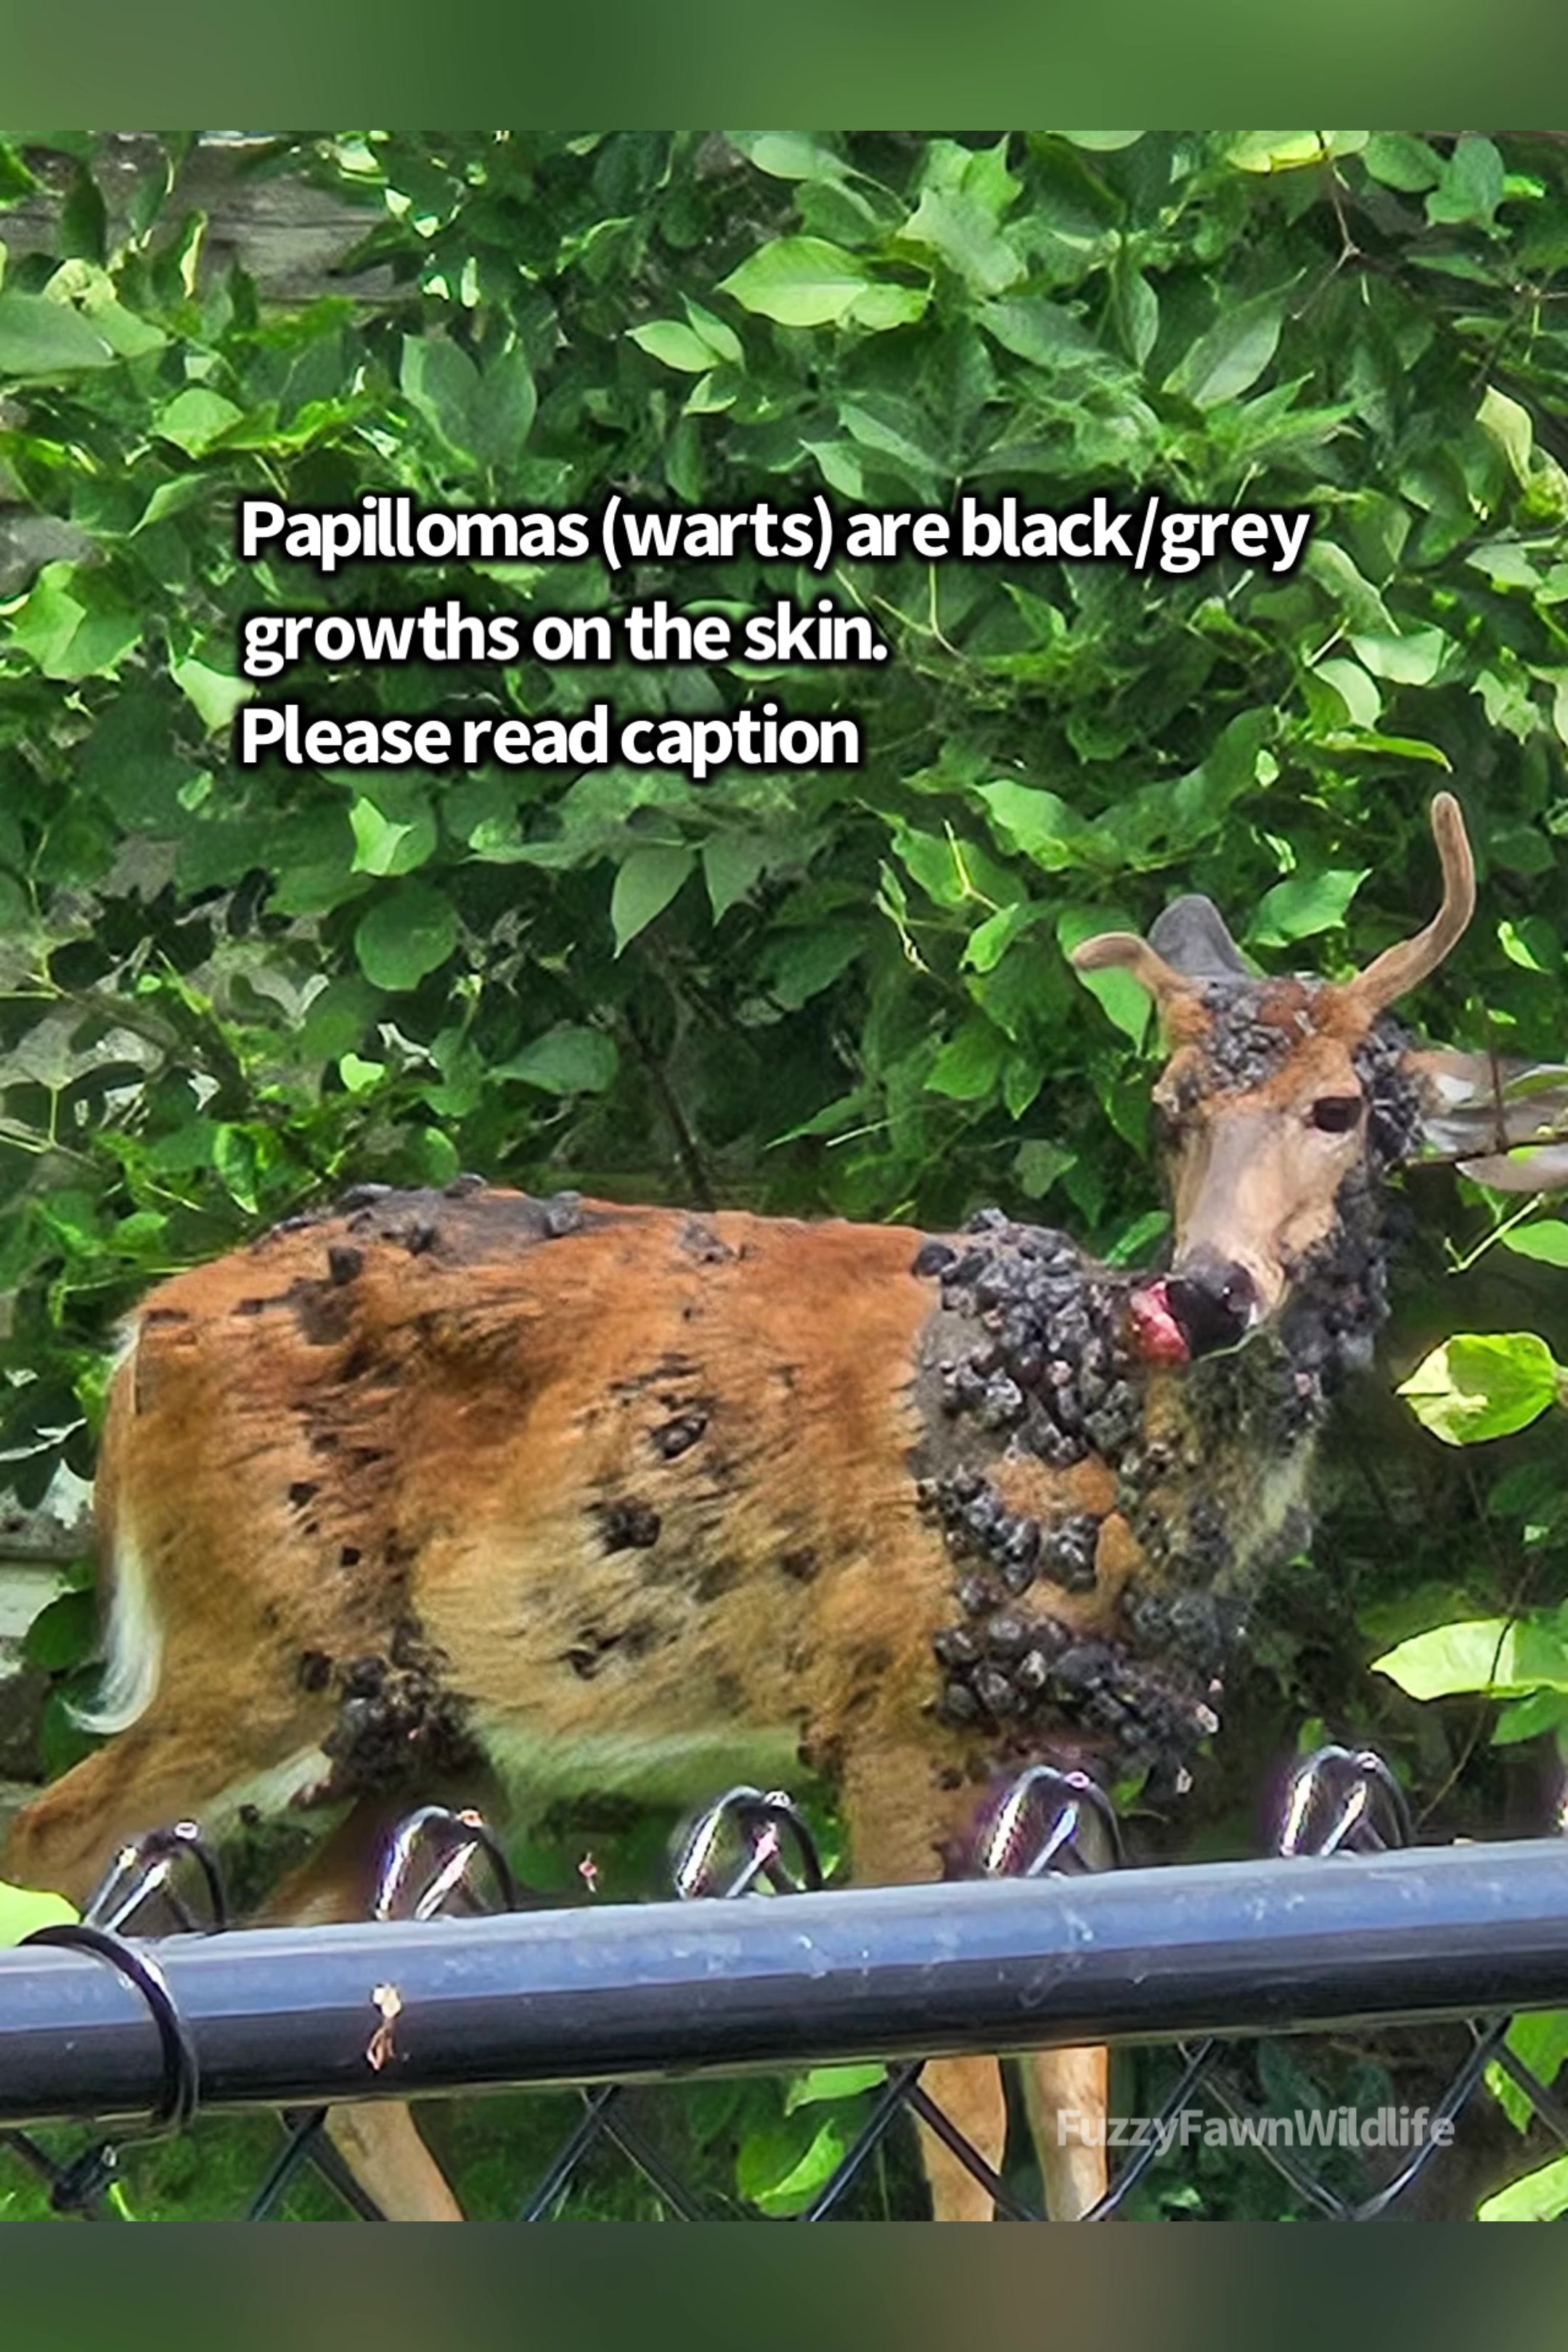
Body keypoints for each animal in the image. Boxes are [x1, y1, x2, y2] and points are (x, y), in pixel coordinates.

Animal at [7, 791, 1567, 2222]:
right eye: (1171, 1112)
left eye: (1340, 1107)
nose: (1207, 1288)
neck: (1112, 1467)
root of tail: (138, 1339)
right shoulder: (891, 1713)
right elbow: (958, 2106)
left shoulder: (1060, 1758)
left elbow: (1077, 2101)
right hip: (259, 1637)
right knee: (55, 1849)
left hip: (430, 1726)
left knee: (334, 1989)